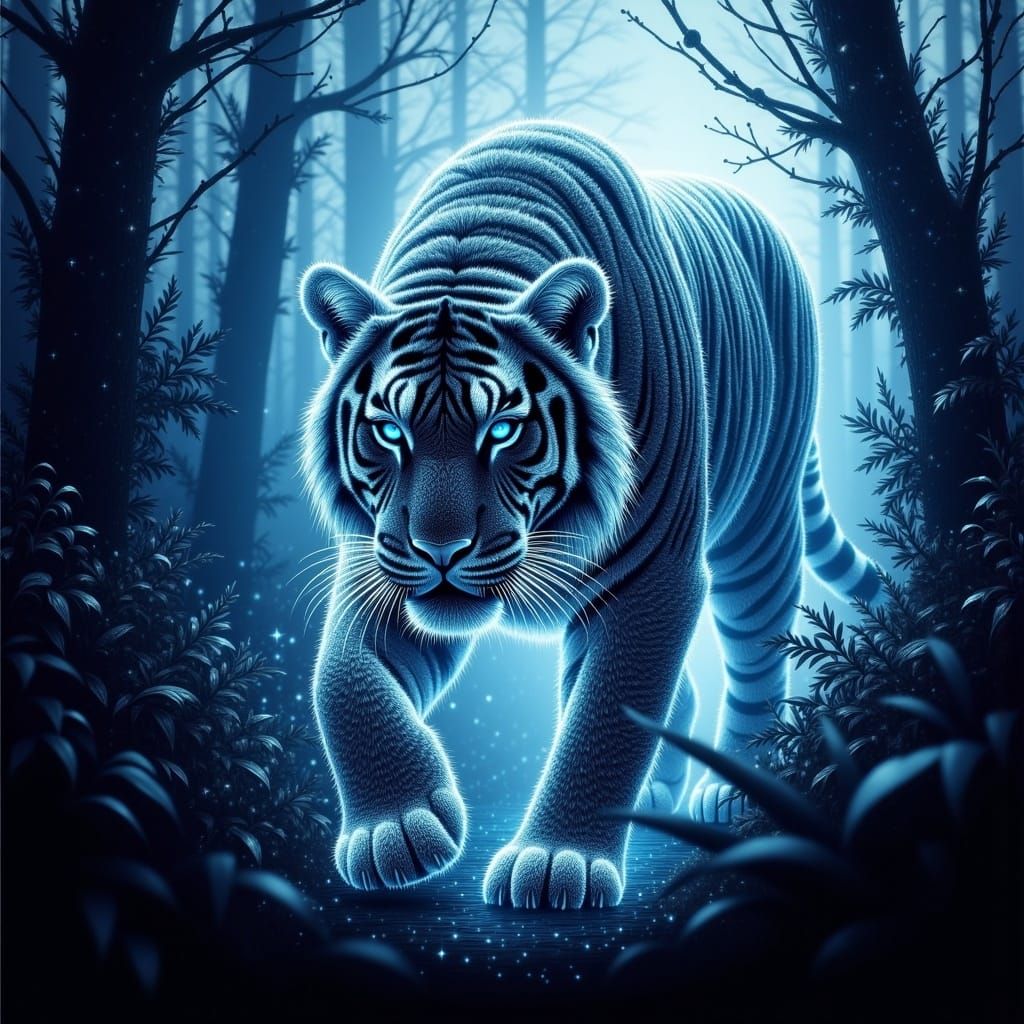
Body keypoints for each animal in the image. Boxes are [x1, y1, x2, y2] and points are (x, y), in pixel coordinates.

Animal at [299, 121, 881, 910]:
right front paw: (397, 828)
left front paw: (555, 861)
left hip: (758, 527)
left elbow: (606, 714)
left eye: (502, 431)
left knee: (758, 649)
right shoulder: (378, 564)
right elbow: (339, 680)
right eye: (389, 430)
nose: (440, 550)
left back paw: (733, 789)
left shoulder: (654, 576)